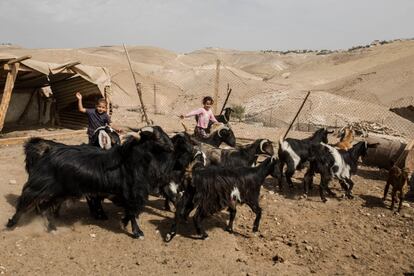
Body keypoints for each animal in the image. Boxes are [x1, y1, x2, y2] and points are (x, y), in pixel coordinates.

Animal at [8, 126, 173, 238]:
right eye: (156, 137)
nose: (171, 147)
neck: (133, 160)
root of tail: (46, 152)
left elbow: (129, 213)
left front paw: (124, 223)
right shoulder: (133, 195)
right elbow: (133, 214)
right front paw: (138, 232)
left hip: (57, 194)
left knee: (44, 209)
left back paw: (52, 228)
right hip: (39, 188)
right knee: (24, 204)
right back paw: (11, 225)